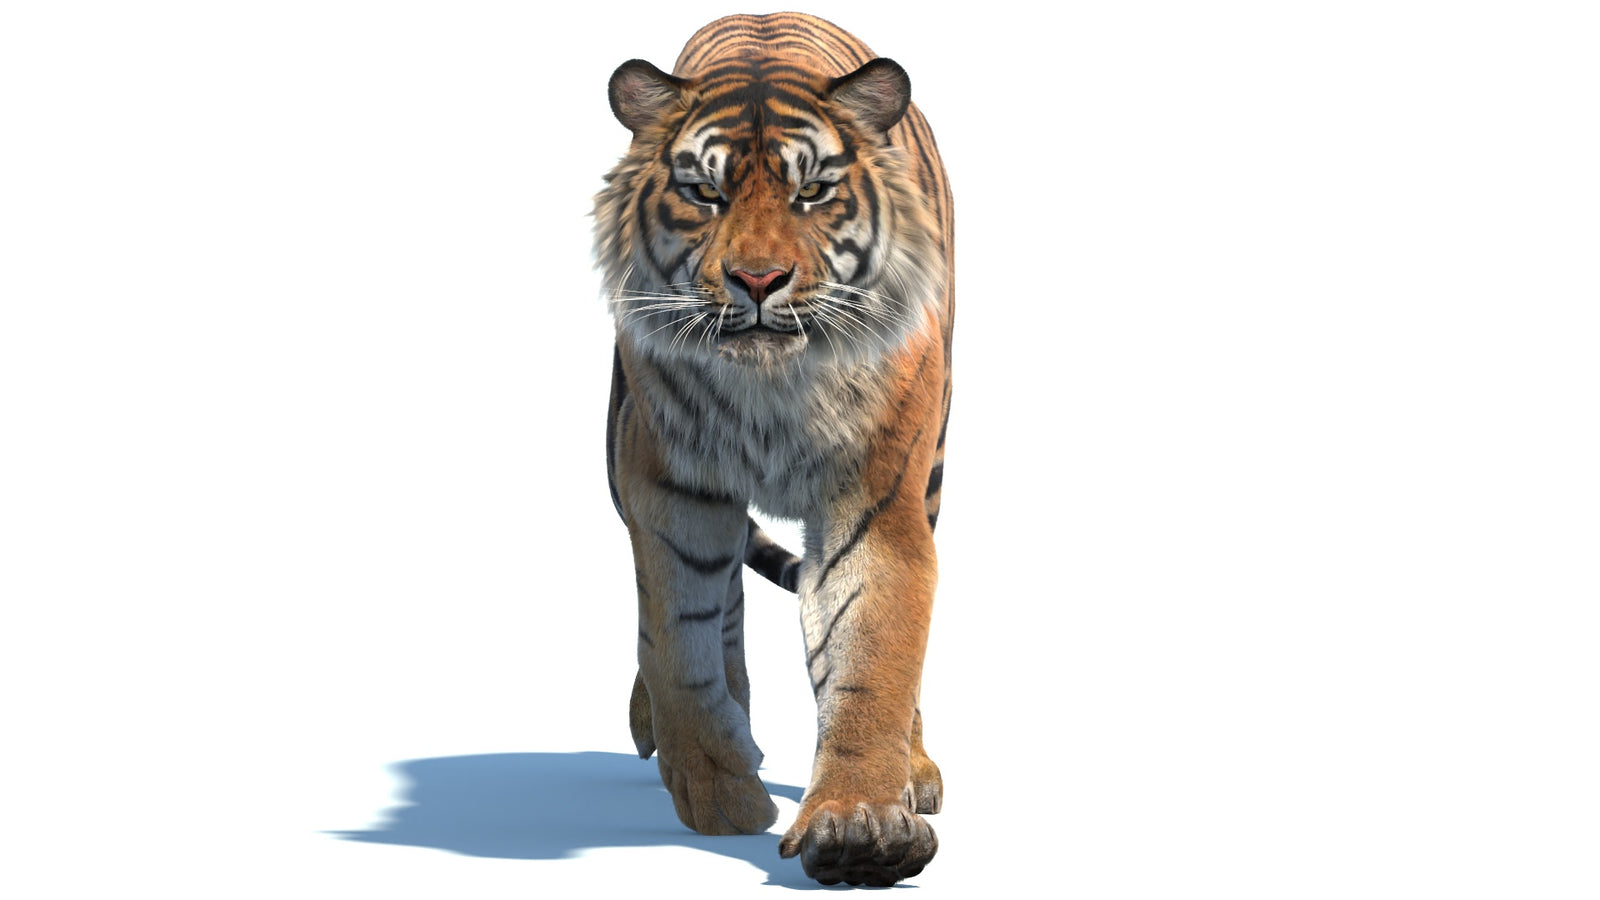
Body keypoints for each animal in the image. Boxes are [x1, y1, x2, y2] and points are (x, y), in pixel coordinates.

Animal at [593, 12, 954, 886]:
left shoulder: (875, 500)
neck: (770, 391)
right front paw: (719, 793)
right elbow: (679, 642)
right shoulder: (670, 492)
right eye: (704, 192)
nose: (758, 280)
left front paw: (860, 823)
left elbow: (874, 655)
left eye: (812, 190)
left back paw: (916, 767)